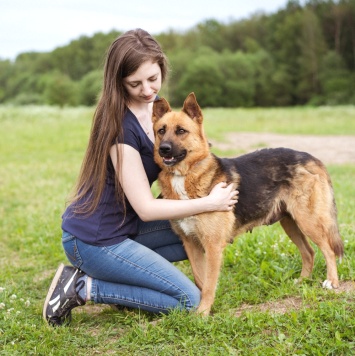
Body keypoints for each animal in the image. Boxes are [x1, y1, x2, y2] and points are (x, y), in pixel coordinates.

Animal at [153, 93, 344, 316]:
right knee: (309, 252)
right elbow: (200, 281)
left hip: (308, 221)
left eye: (181, 131)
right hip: (290, 223)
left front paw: (203, 313)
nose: (163, 149)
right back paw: (302, 281)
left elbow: (208, 284)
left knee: (328, 250)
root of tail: (312, 158)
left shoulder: (213, 246)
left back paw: (332, 281)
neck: (185, 176)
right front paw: (202, 310)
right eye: (161, 131)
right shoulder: (191, 243)